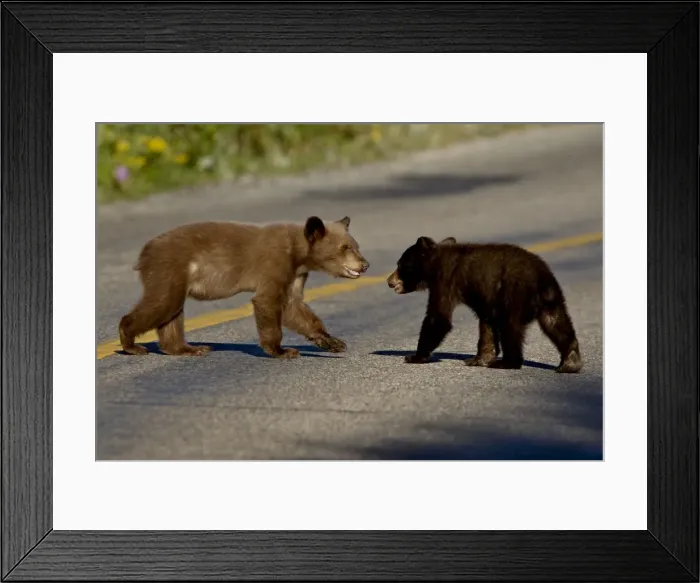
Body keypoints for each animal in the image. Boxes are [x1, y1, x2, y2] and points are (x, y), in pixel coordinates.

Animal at [118, 216, 370, 359]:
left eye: (355, 245)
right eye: (345, 247)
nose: (365, 264)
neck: (298, 252)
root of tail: (145, 251)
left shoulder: (296, 274)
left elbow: (294, 306)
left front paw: (332, 341)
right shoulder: (275, 263)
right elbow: (268, 301)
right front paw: (281, 351)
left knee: (171, 312)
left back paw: (187, 349)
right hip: (169, 268)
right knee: (162, 304)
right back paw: (132, 345)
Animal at [386, 236, 583, 373]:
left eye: (400, 264)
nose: (389, 281)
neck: (436, 261)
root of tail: (541, 278)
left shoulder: (446, 282)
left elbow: (438, 318)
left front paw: (415, 356)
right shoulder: (486, 297)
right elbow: (487, 325)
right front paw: (479, 359)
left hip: (514, 292)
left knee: (510, 326)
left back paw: (507, 362)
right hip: (552, 299)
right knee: (557, 323)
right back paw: (570, 363)